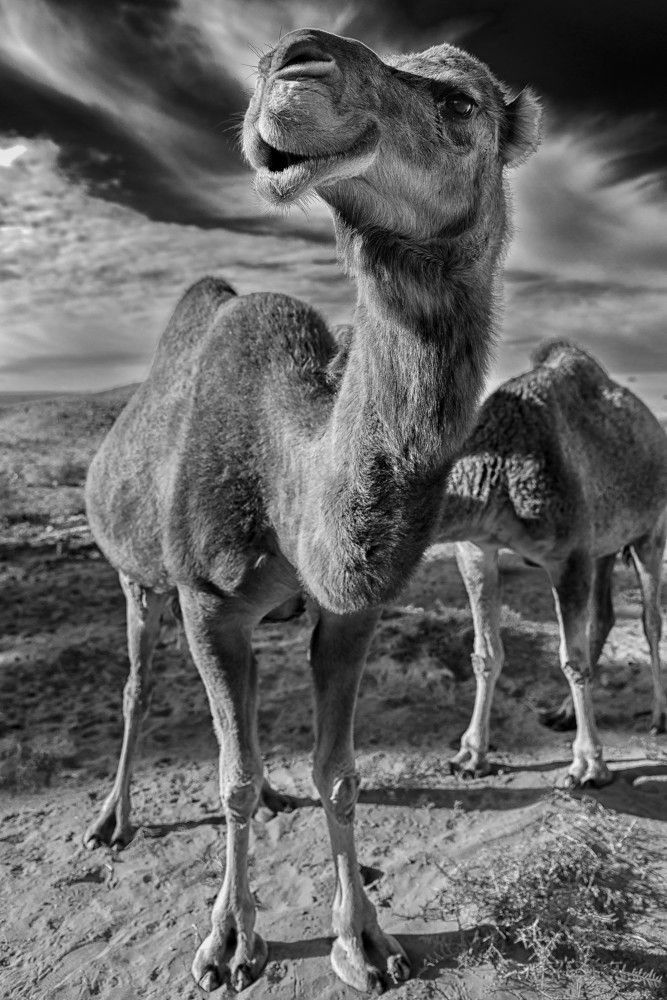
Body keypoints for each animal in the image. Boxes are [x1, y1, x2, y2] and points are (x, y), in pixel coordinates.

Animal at [84, 28, 541, 994]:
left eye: (459, 102)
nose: (291, 67)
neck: (289, 476)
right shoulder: (207, 601)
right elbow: (225, 780)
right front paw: (227, 943)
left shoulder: (348, 611)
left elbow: (338, 776)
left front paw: (364, 941)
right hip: (139, 577)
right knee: (141, 688)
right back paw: (113, 818)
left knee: (253, 731)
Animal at [441, 341, 667, 785]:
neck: (499, 470)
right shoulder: (476, 547)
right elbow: (485, 652)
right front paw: (471, 755)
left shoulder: (568, 556)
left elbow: (572, 660)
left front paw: (589, 766)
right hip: (603, 547)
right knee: (605, 615)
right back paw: (563, 713)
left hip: (650, 531)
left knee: (651, 619)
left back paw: (658, 716)